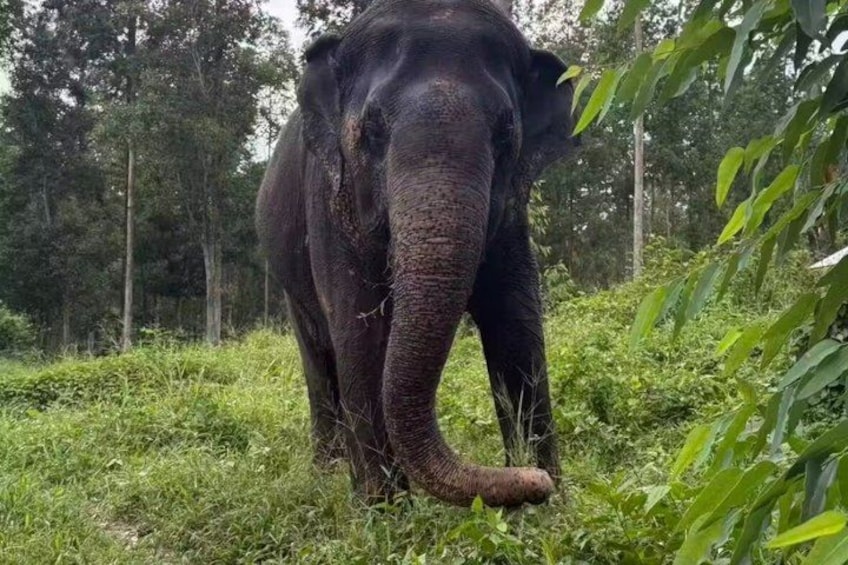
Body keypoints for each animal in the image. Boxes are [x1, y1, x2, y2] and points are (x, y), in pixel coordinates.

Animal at [255, 0, 579, 508]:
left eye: (506, 133)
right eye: (371, 129)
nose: (533, 481)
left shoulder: (512, 212)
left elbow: (515, 321)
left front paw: (555, 504)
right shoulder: (328, 198)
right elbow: (359, 328)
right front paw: (385, 512)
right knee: (318, 356)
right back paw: (327, 472)